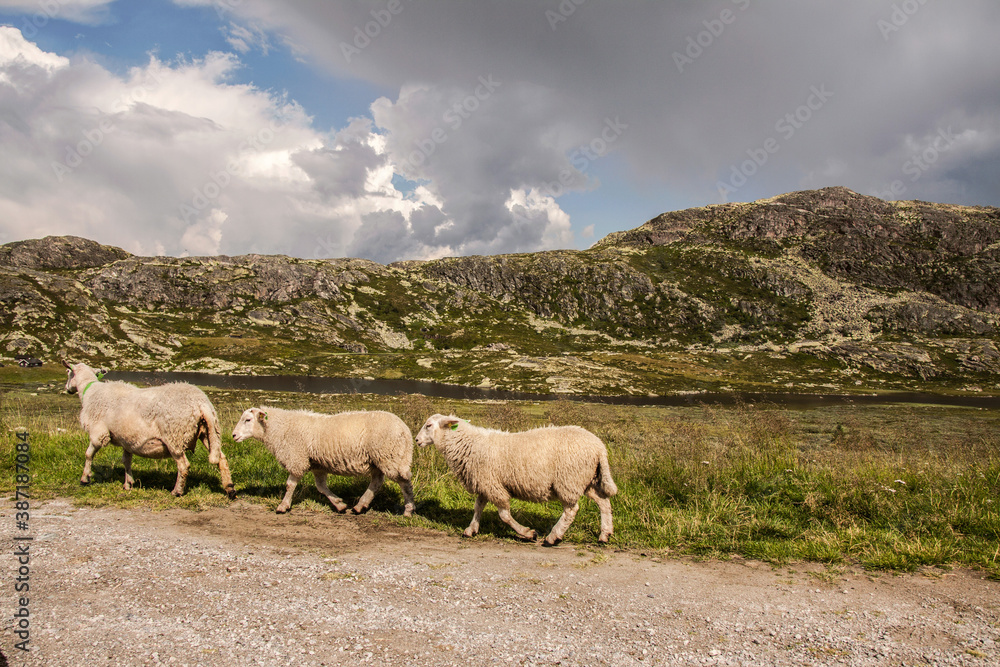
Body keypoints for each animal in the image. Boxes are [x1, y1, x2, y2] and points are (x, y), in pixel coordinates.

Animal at [63, 361, 236, 499]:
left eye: (68, 373)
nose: (67, 389)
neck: (90, 391)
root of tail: (201, 403)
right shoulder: (127, 440)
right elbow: (126, 461)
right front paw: (129, 484)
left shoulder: (99, 434)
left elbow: (88, 454)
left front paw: (85, 478)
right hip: (209, 431)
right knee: (221, 459)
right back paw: (230, 489)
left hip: (174, 436)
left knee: (183, 466)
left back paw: (177, 491)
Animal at [231, 407, 416, 516]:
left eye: (248, 419)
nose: (233, 435)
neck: (279, 428)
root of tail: (405, 430)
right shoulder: (317, 464)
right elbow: (321, 487)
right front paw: (339, 505)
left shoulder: (297, 458)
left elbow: (290, 485)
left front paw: (283, 506)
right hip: (379, 460)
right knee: (376, 483)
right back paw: (360, 506)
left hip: (389, 456)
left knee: (404, 482)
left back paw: (408, 509)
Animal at [415, 414, 617, 546]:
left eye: (429, 425)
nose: (416, 440)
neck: (469, 443)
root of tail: (600, 447)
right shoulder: (485, 483)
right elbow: (478, 507)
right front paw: (470, 530)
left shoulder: (493, 485)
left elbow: (504, 515)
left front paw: (528, 533)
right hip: (587, 480)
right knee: (603, 502)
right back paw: (604, 535)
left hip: (569, 480)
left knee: (571, 510)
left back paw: (553, 538)